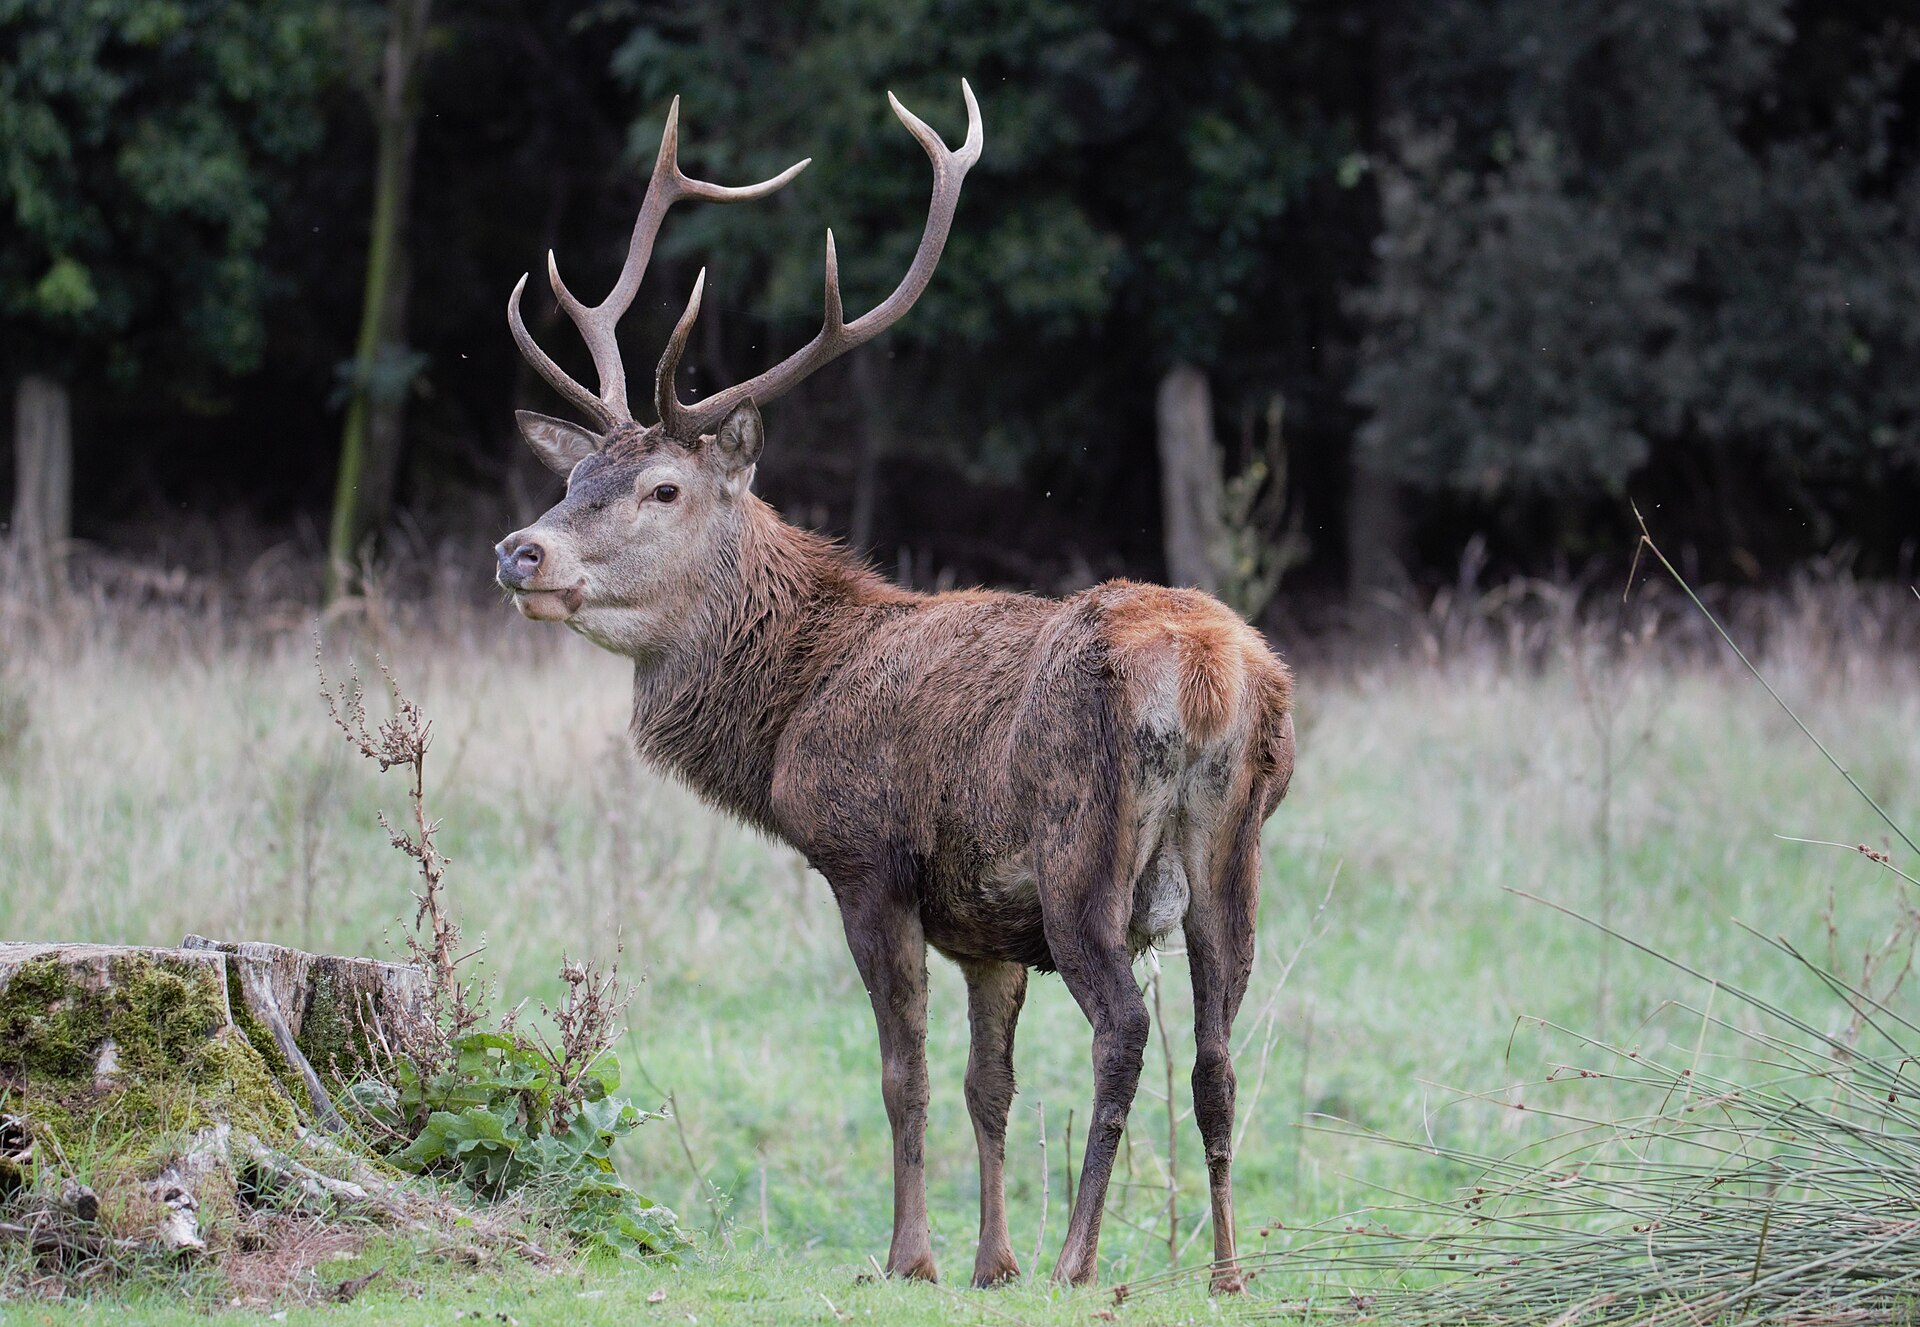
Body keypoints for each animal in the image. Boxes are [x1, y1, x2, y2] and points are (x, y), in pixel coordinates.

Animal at [492, 81, 1295, 1292]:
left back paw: (1078, 1258)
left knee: (1124, 1030)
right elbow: (986, 1083)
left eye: (663, 487)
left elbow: (901, 1073)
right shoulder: (987, 923)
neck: (791, 708)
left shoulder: (867, 856)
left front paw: (911, 1255)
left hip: (1082, 845)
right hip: (1232, 850)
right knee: (1217, 1050)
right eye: (574, 473)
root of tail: (1208, 673)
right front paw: (989, 1260)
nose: (520, 551)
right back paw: (1227, 1268)